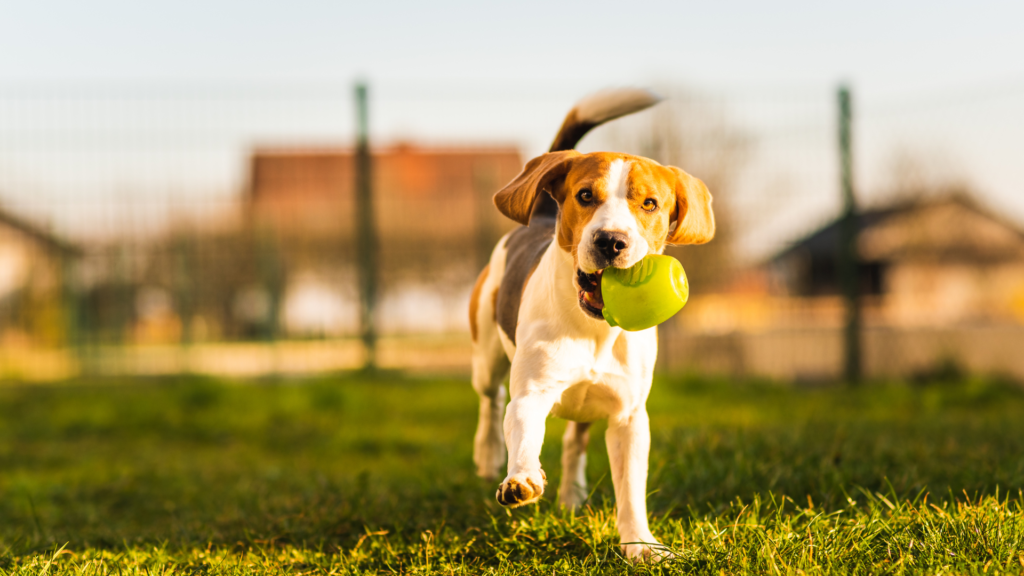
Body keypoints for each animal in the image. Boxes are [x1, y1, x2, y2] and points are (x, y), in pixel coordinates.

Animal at [468, 87, 716, 557]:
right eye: (585, 196)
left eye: (650, 203)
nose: (610, 241)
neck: (596, 328)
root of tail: (540, 215)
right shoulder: (531, 393)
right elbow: (522, 429)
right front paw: (521, 478)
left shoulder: (629, 417)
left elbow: (630, 489)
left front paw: (641, 545)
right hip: (487, 352)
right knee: (490, 401)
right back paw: (488, 455)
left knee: (573, 444)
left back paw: (571, 496)